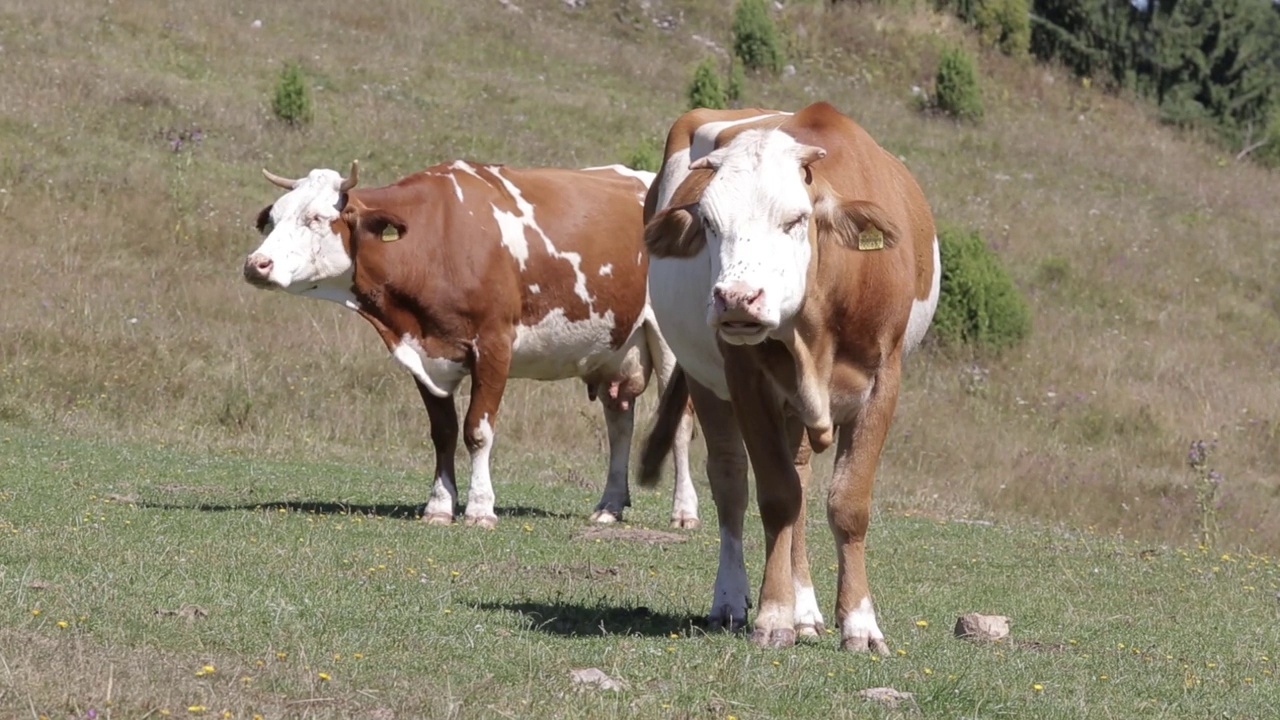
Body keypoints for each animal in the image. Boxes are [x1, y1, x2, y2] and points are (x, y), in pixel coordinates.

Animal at [240, 158, 701, 527]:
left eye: (317, 218)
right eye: (273, 218)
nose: (255, 264)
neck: (436, 240)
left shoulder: (494, 344)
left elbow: (477, 431)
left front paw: (480, 508)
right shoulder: (424, 352)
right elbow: (442, 432)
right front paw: (439, 506)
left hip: (670, 344)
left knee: (679, 425)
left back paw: (684, 511)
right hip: (617, 346)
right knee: (619, 421)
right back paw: (609, 506)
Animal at [640, 101, 942, 650]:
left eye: (795, 220)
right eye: (709, 222)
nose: (736, 298)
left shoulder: (884, 382)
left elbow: (847, 502)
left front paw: (859, 623)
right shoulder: (746, 381)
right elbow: (777, 497)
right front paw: (773, 614)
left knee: (799, 476)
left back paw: (807, 612)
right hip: (702, 376)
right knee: (732, 481)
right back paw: (732, 601)